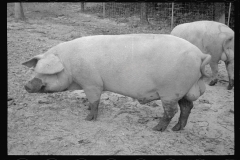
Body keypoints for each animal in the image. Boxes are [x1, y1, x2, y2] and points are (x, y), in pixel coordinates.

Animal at [21, 33, 211, 131]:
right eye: (36, 70)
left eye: (45, 73)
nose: (26, 85)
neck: (70, 66)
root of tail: (200, 55)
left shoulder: (92, 82)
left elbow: (95, 101)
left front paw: (88, 119)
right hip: (184, 89)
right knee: (187, 107)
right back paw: (177, 128)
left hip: (171, 90)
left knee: (171, 111)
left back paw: (156, 128)